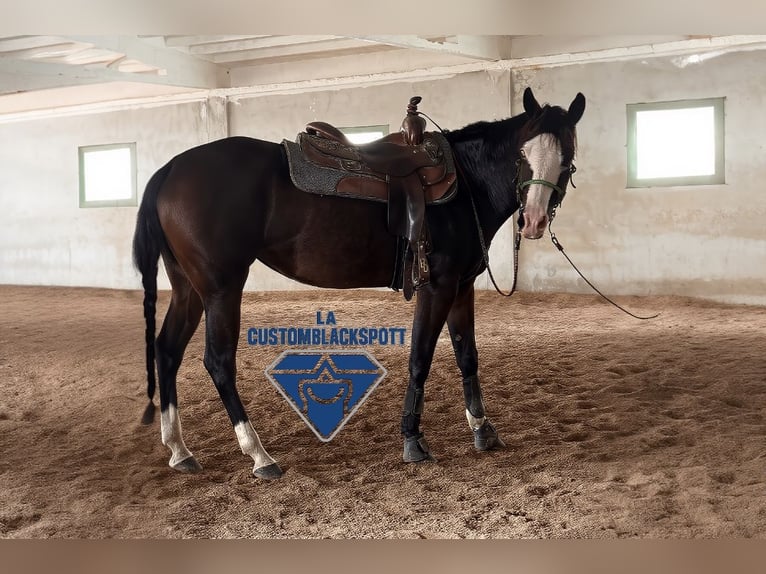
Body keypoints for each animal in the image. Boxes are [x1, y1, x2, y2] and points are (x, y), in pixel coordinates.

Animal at [132, 87, 586, 479]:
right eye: (522, 154)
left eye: (567, 158)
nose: (533, 221)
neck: (466, 185)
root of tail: (170, 169)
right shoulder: (437, 286)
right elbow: (420, 358)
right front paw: (413, 441)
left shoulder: (462, 286)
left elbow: (467, 356)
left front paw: (482, 429)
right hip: (222, 288)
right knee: (218, 362)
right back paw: (259, 455)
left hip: (189, 287)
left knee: (167, 350)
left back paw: (179, 450)